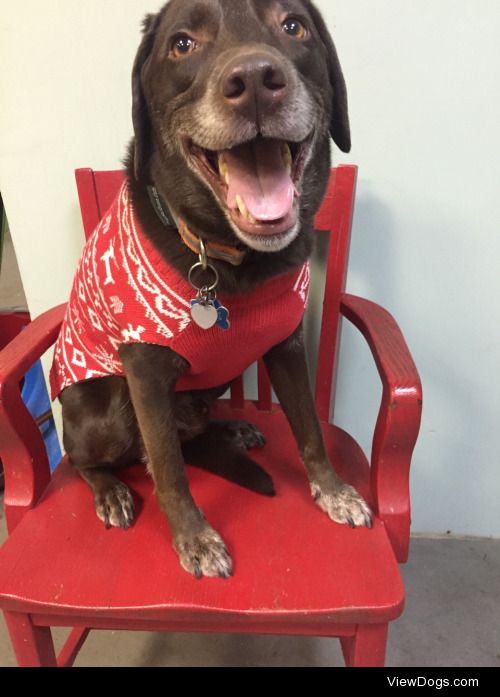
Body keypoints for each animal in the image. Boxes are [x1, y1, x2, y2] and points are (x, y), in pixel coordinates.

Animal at [56, 0, 374, 576]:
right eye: (182, 44)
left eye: (294, 26)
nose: (254, 81)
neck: (232, 260)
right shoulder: (145, 372)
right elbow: (169, 469)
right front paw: (194, 538)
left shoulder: (286, 344)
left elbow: (311, 430)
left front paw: (333, 490)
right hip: (108, 406)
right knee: (90, 458)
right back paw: (110, 489)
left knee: (189, 434)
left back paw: (231, 431)